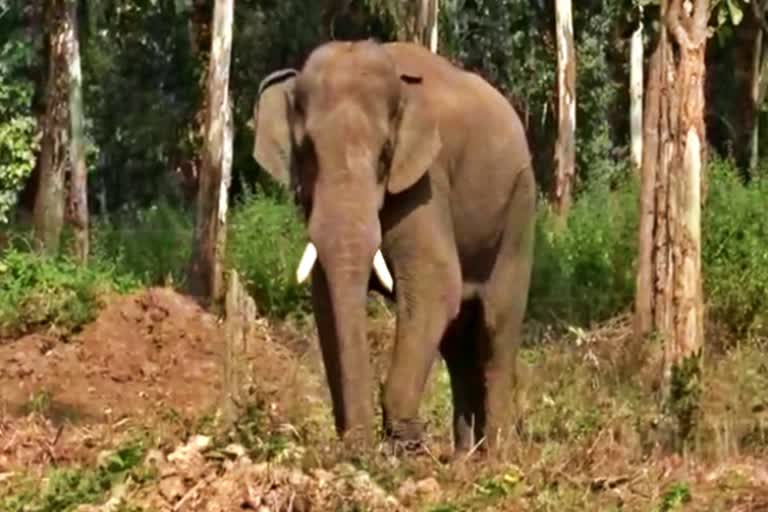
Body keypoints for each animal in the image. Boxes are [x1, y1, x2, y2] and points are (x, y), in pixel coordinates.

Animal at [250, 40, 536, 456]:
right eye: (306, 152)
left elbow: (435, 286)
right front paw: (357, 445)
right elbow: (325, 299)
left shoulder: (427, 182)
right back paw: (463, 458)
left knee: (496, 329)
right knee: (458, 342)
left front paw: (405, 445)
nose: (361, 447)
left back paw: (496, 457)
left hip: (519, 208)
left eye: (386, 153)